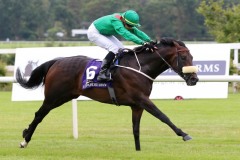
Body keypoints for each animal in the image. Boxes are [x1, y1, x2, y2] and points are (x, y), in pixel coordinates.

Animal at [15, 38, 199, 151]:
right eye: (183, 57)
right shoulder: (142, 99)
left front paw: (138, 151)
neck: (140, 68)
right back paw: (25, 139)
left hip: (65, 96)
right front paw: (184, 134)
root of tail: (57, 61)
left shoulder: (137, 105)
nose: (194, 79)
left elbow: (136, 129)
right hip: (54, 97)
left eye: (192, 56)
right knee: (39, 115)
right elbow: (163, 116)